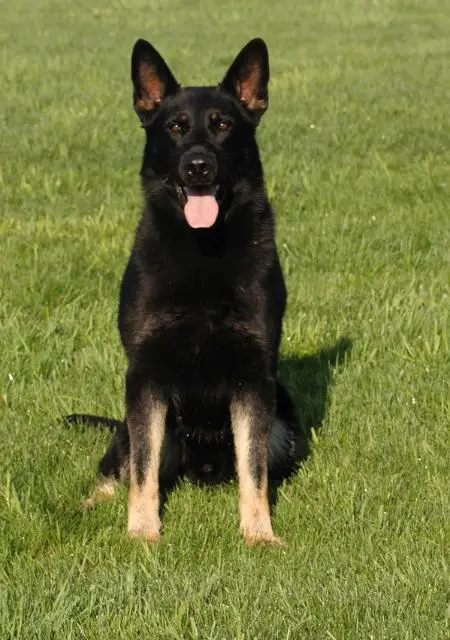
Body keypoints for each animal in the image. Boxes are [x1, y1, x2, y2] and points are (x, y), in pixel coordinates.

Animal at [67, 37, 298, 544]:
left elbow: (254, 468)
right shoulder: (145, 377)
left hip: (282, 419)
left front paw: (258, 534)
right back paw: (92, 504)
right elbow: (142, 469)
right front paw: (142, 534)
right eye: (176, 127)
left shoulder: (254, 381)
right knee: (119, 464)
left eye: (223, 125)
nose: (198, 167)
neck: (203, 248)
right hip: (142, 423)